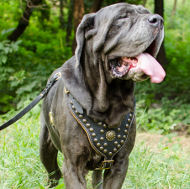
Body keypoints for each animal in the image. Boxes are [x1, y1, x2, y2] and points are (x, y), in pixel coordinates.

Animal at [40, 2, 165, 189]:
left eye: (147, 12)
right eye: (122, 17)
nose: (158, 19)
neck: (110, 99)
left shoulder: (120, 164)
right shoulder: (73, 166)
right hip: (45, 148)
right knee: (53, 174)